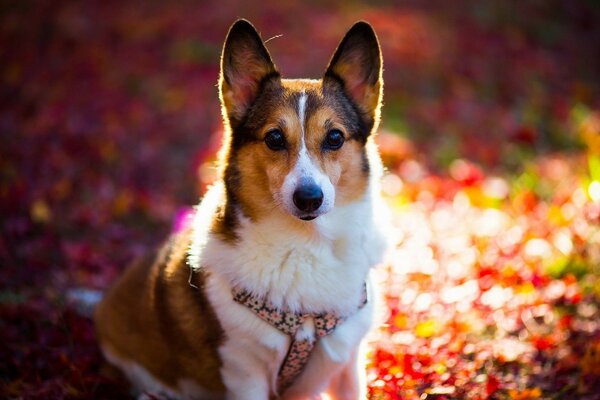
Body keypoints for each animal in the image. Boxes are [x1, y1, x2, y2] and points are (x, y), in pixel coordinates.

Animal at [94, 19, 390, 400]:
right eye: (274, 138)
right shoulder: (244, 371)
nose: (309, 198)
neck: (305, 246)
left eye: (335, 138)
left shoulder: (348, 364)